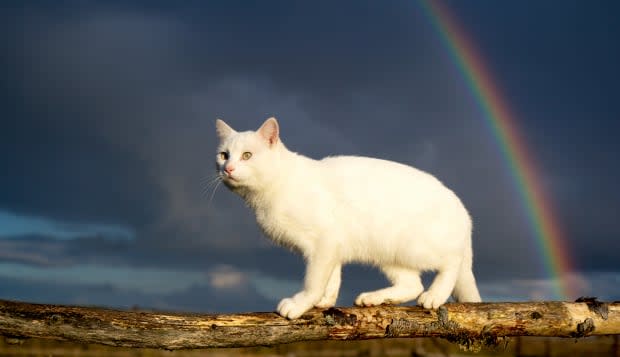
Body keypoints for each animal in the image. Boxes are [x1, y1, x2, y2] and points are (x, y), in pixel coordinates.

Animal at [216, 117, 482, 320]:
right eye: (223, 155)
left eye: (247, 155)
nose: (227, 169)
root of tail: (463, 209)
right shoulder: (332, 247)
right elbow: (331, 278)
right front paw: (324, 301)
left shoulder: (323, 242)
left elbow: (313, 280)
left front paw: (300, 304)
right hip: (388, 253)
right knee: (412, 284)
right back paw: (374, 298)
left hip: (415, 247)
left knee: (451, 262)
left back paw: (434, 295)